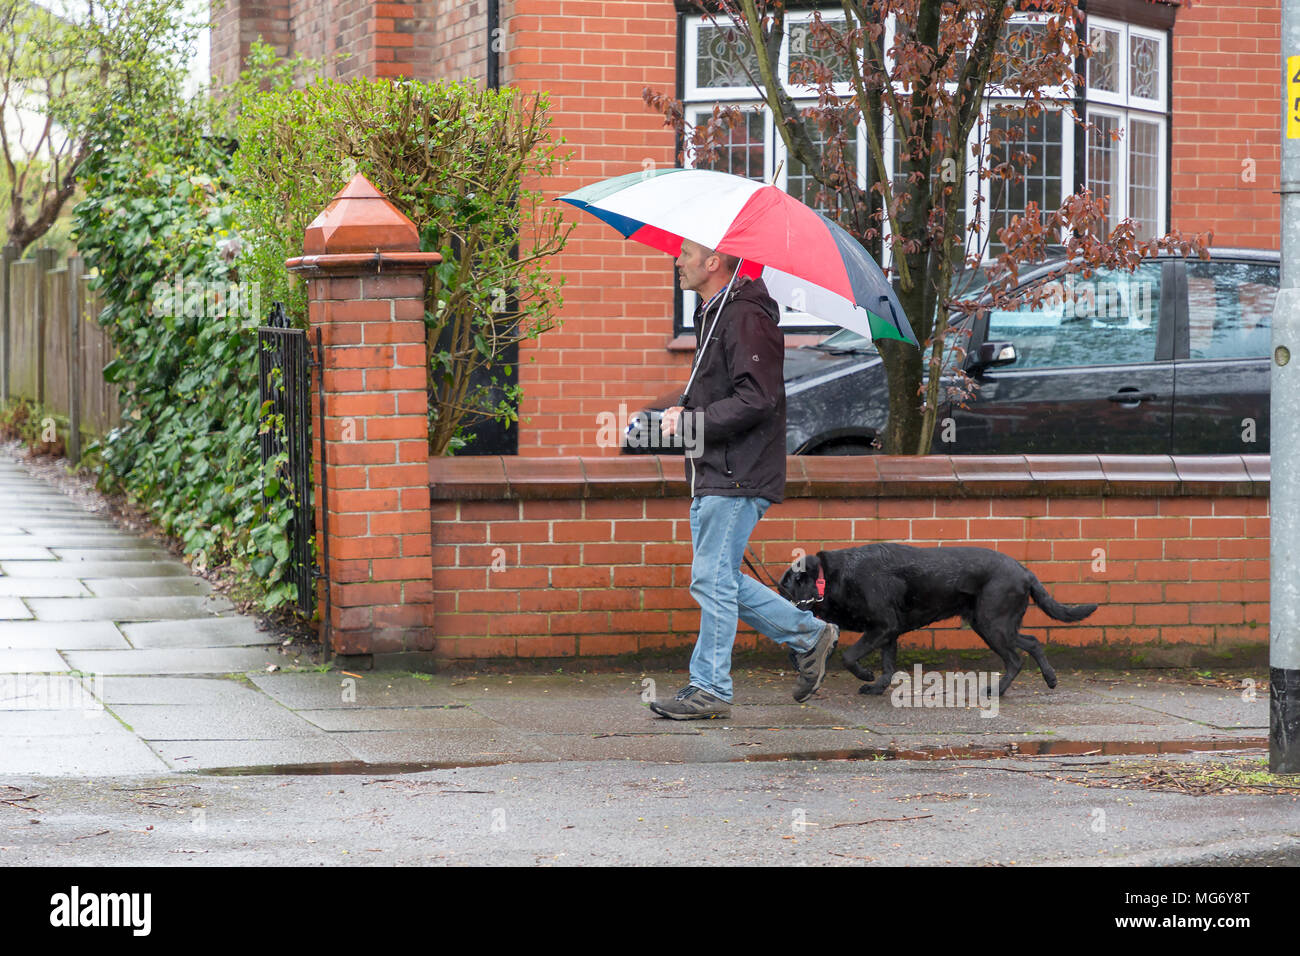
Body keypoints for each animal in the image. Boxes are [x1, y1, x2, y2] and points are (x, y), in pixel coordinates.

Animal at [780, 546, 1097, 697]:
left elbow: (849, 656)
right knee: (1032, 642)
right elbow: (888, 664)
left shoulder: (882, 626)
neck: (832, 577)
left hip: (992, 624)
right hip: (992, 624)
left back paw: (997, 691)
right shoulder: (889, 631)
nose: (784, 603)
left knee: (1016, 658)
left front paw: (866, 676)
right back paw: (1050, 678)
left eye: (786, 588)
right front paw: (877, 686)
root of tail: (1025, 572)